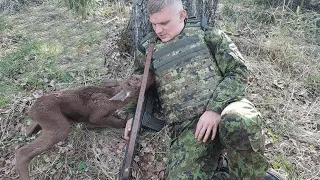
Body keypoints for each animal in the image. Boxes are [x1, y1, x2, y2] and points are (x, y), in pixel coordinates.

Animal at [15, 73, 154, 180]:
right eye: (137, 82)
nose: (151, 73)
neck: (114, 100)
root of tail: (31, 111)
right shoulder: (97, 115)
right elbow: (114, 122)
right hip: (60, 126)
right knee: (22, 152)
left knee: (29, 131)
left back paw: (30, 131)